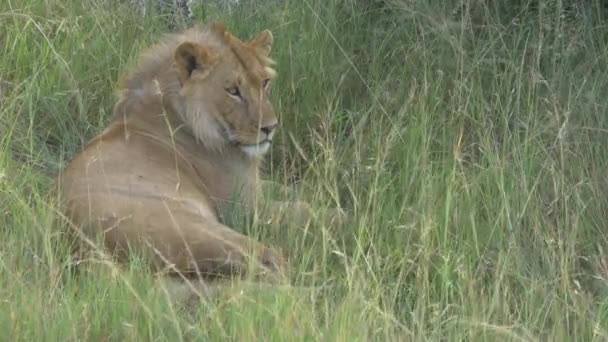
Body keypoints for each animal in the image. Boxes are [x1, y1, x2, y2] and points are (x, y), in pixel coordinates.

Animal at [55, 22, 318, 300]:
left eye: (265, 83)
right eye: (233, 91)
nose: (270, 127)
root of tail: (77, 248)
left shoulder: (255, 187)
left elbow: (296, 191)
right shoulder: (244, 207)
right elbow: (306, 209)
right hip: (199, 230)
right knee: (272, 264)